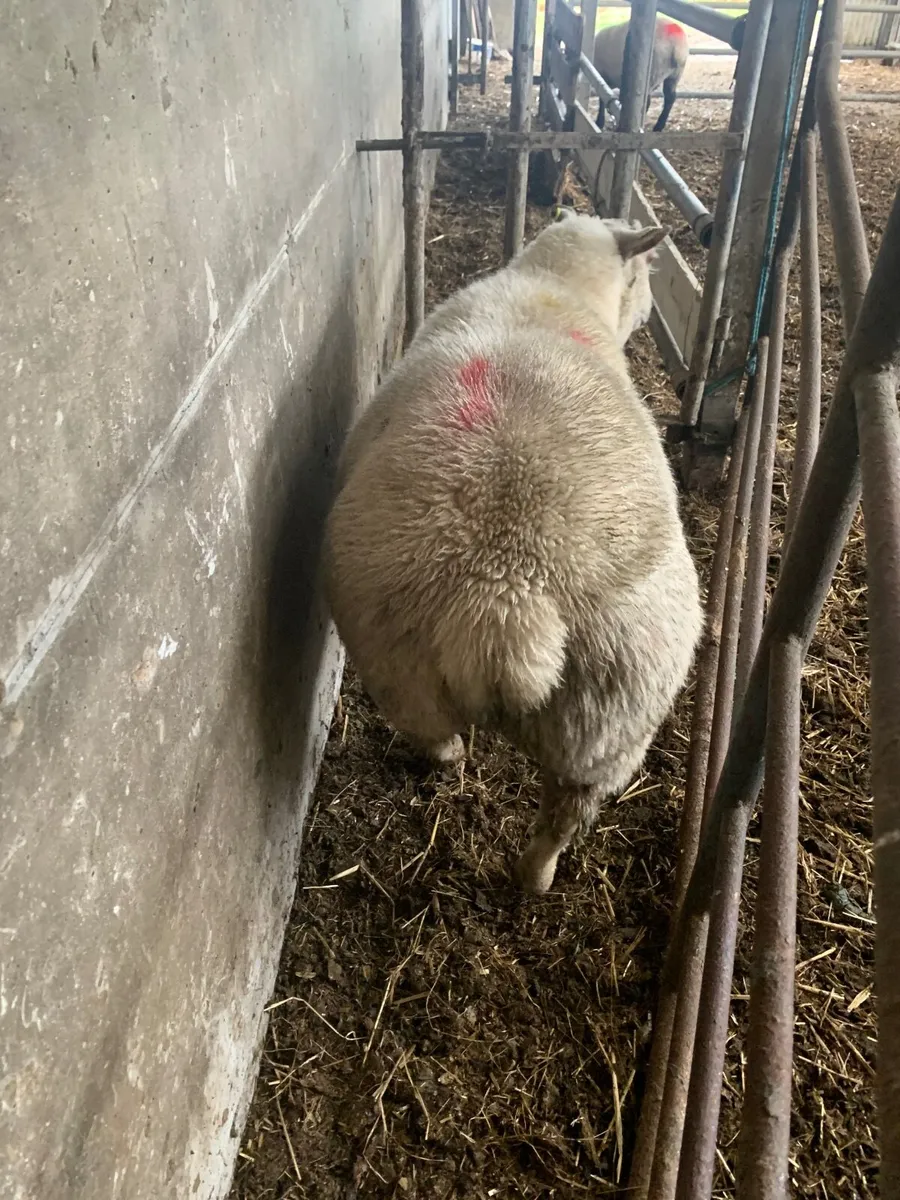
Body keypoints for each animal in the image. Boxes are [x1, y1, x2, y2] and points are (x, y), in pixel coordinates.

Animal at [323, 212, 703, 894]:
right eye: (644, 275)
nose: (647, 310)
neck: (553, 287)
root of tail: (506, 595)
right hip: (615, 727)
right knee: (558, 817)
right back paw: (536, 878)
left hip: (398, 664)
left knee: (438, 737)